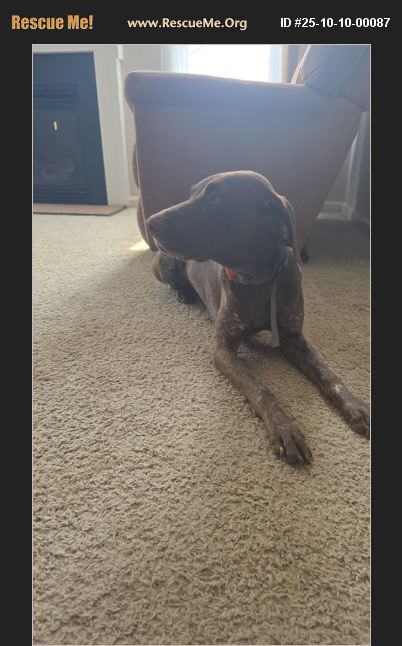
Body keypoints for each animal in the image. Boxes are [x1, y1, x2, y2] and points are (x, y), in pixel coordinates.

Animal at [146, 171, 370, 466]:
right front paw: (284, 429)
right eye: (191, 193)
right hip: (165, 264)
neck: (258, 278)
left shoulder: (293, 338)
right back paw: (184, 292)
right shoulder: (223, 350)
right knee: (173, 281)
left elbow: (328, 374)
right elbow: (261, 389)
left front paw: (356, 406)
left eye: (215, 198)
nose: (151, 222)